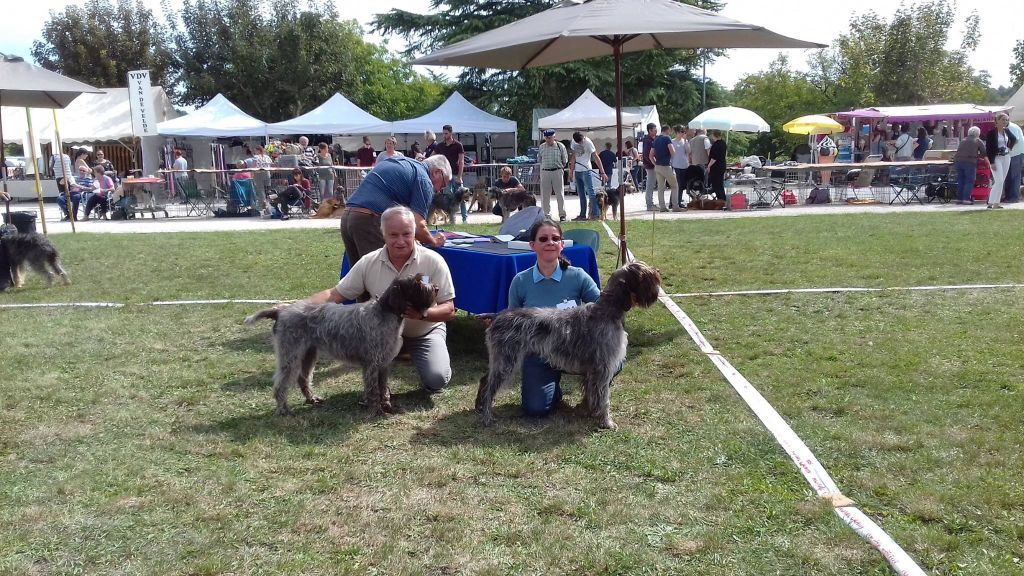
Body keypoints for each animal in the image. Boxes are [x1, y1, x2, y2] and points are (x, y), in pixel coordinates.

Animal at [244, 275, 437, 415]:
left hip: (308, 354)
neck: (385, 312)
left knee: (303, 378)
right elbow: (373, 390)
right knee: (280, 385)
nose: (435, 288)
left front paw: (387, 406)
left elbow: (382, 388)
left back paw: (311, 399)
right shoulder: (372, 365)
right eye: (417, 282)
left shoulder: (384, 364)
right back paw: (283, 409)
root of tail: (281, 310)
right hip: (290, 356)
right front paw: (376, 411)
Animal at [475, 261, 662, 429]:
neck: (608, 309)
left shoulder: (593, 370)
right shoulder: (603, 367)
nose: (657, 272)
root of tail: (497, 315)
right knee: (489, 387)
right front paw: (606, 421)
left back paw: (479, 407)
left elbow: (591, 393)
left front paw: (588, 412)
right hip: (506, 362)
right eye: (643, 274)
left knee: (484, 380)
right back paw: (487, 417)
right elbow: (603, 398)